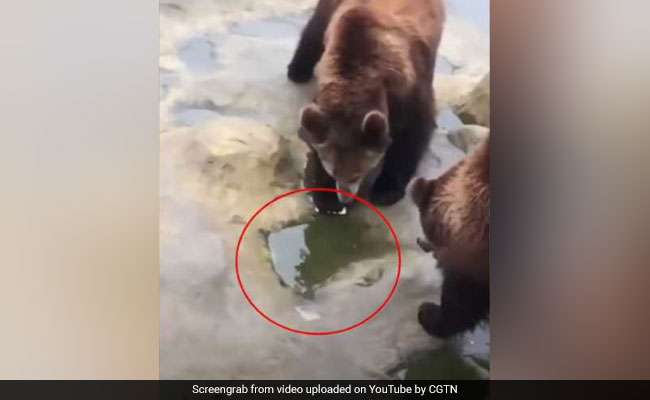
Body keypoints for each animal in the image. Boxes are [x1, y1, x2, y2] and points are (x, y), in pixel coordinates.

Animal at [288, 0, 445, 211]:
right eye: (333, 171)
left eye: (357, 173)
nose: (344, 198)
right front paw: (325, 197)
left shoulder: (409, 88)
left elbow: (412, 134)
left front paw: (385, 190)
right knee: (316, 24)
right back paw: (297, 69)